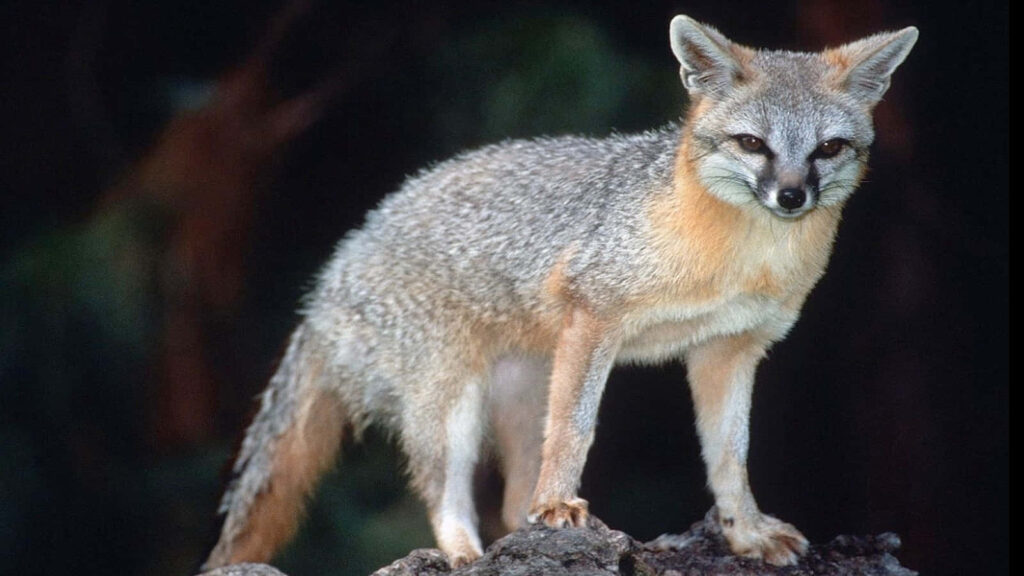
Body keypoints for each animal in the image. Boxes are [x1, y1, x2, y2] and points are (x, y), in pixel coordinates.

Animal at [203, 14, 918, 570]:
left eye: (828, 149)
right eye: (753, 144)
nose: (792, 196)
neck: (742, 259)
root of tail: (335, 269)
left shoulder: (729, 349)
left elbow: (730, 457)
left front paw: (745, 533)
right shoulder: (593, 316)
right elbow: (576, 431)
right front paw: (558, 505)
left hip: (522, 394)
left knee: (509, 498)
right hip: (452, 403)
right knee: (444, 490)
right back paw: (463, 553)